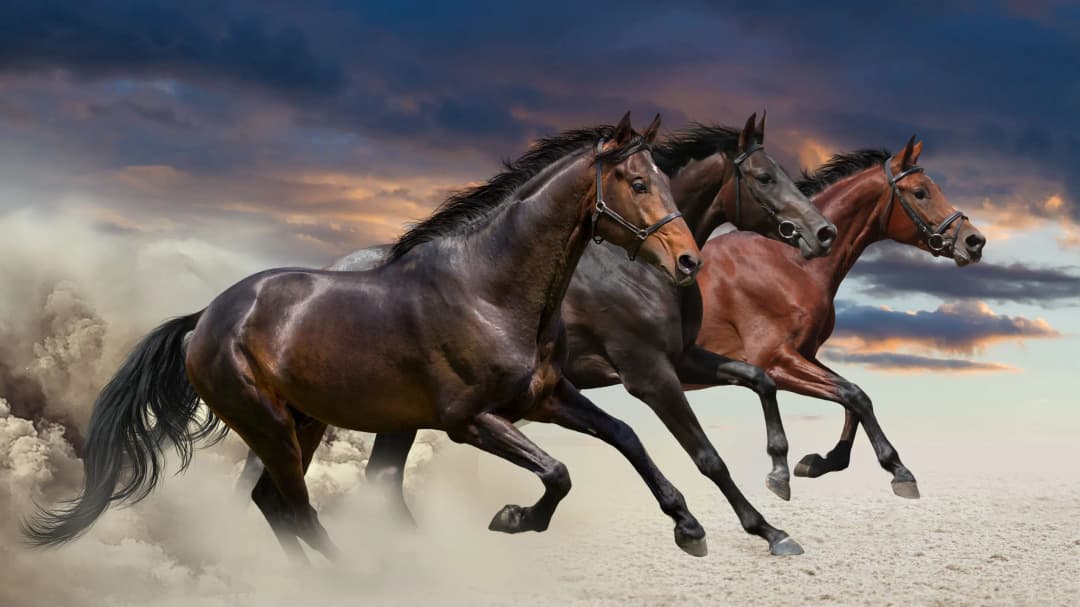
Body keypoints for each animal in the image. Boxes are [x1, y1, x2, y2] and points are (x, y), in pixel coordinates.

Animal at [25, 113, 714, 561]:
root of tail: (206, 317)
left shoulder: (546, 398)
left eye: (664, 179)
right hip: (267, 424)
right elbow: (560, 471)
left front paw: (689, 528)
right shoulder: (470, 420)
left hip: (302, 422)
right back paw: (357, 578)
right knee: (296, 509)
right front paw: (514, 519)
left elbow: (624, 436)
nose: (688, 261)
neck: (488, 291)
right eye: (637, 182)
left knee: (273, 504)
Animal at [238, 112, 838, 556]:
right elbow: (705, 454)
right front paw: (764, 529)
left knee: (370, 479)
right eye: (765, 177)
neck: (633, 269)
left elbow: (757, 380)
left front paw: (778, 478)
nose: (821, 233)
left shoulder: (684, 359)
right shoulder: (649, 374)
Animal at [690, 137, 987, 499]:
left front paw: (822, 461)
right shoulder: (773, 360)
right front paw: (899, 471)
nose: (974, 241)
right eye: (920, 192)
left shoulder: (803, 354)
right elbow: (854, 395)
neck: (789, 263)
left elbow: (853, 396)